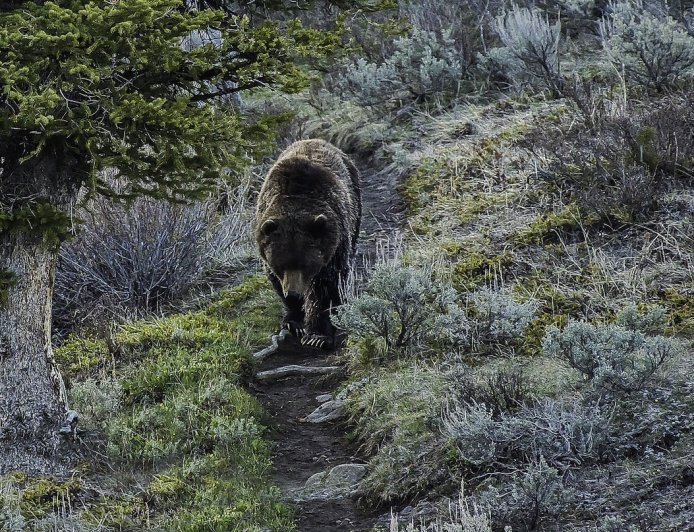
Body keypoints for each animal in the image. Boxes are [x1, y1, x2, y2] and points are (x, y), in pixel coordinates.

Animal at [255, 139, 361, 349]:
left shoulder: (332, 247)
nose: (293, 293)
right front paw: (294, 321)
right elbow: (275, 281)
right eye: (281, 265)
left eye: (305, 265)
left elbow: (326, 287)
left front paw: (317, 335)